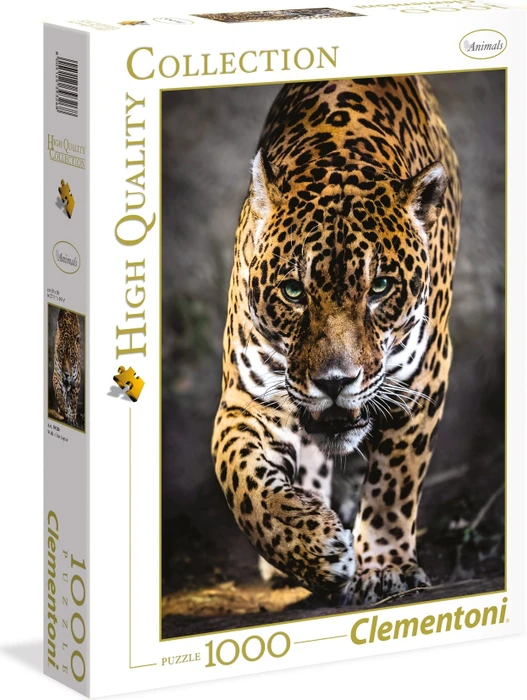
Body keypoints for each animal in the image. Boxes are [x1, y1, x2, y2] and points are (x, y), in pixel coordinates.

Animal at [212, 76, 461, 605]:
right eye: (293, 291)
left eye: (380, 288)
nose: (334, 382)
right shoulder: (248, 399)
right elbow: (241, 481)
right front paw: (312, 547)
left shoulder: (422, 380)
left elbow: (394, 482)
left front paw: (384, 567)